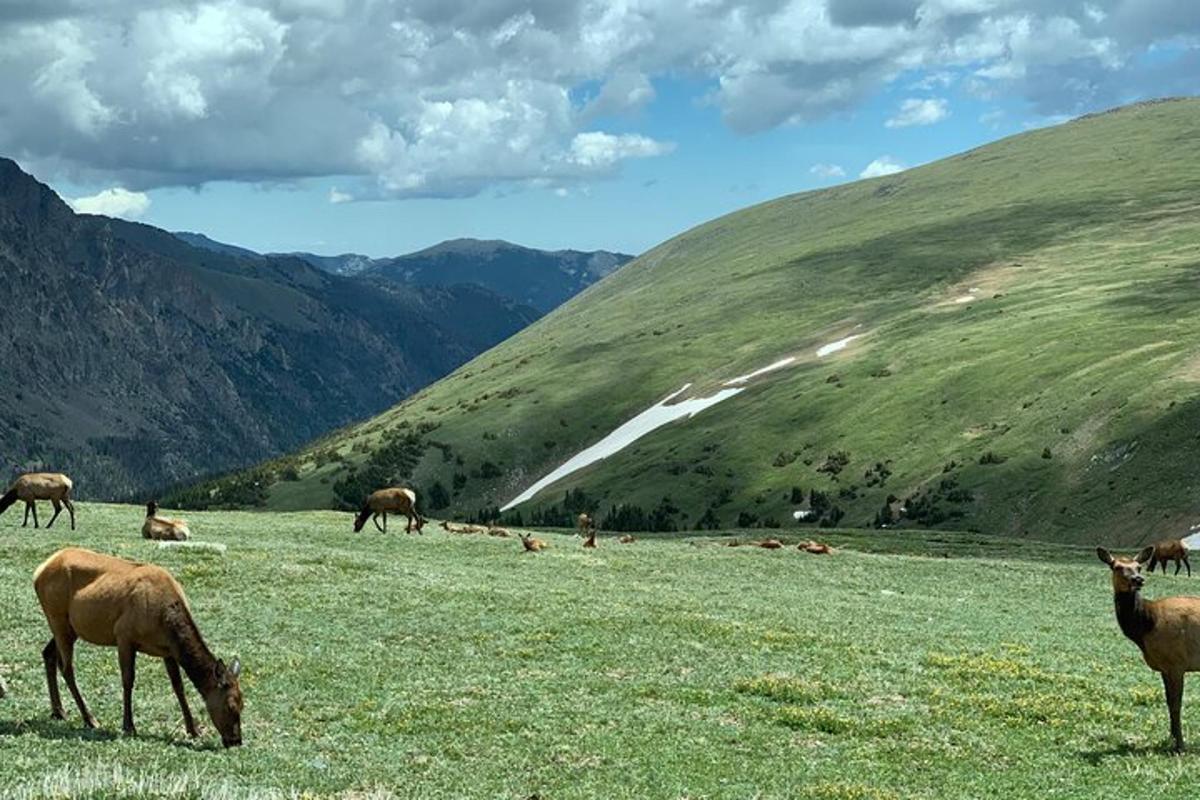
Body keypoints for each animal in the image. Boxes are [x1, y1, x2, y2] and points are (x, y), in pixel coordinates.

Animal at [33, 546, 243, 748]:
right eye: (231, 706)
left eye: (243, 704)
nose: (236, 741)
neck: (165, 619)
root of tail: (39, 571)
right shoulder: (124, 636)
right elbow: (128, 680)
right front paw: (128, 726)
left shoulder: (168, 651)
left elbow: (178, 686)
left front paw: (193, 729)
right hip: (57, 617)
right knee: (66, 667)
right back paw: (89, 719)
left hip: (69, 628)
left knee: (48, 653)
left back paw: (59, 711)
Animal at [1099, 542, 1200, 753]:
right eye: (1117, 567)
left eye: (1138, 567)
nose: (1138, 579)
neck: (1146, 626)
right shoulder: (1164, 667)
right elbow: (1168, 701)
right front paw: (1170, 739)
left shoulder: (1177, 662)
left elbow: (1176, 704)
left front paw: (1180, 746)